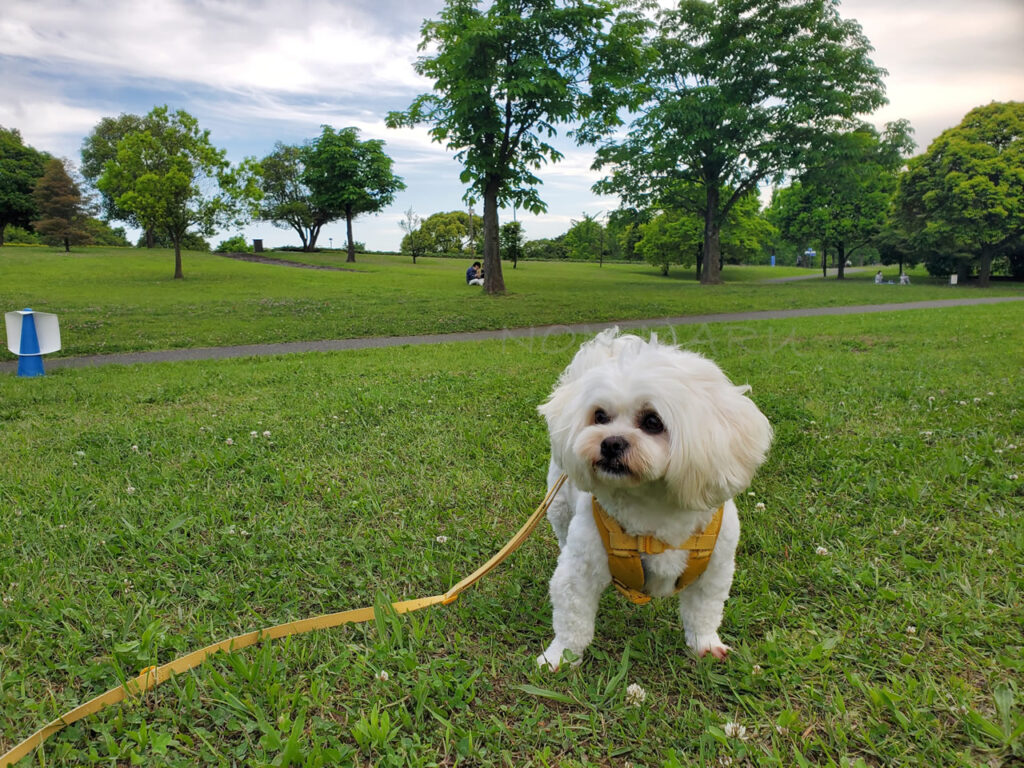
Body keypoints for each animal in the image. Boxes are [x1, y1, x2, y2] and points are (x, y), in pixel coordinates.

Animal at [536, 327, 770, 671]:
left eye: (652, 422)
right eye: (599, 416)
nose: (611, 443)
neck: (652, 502)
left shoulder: (714, 570)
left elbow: (704, 612)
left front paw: (705, 644)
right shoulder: (579, 571)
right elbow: (571, 621)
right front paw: (558, 658)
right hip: (561, 509)